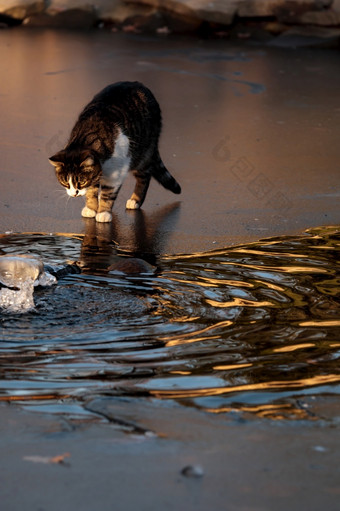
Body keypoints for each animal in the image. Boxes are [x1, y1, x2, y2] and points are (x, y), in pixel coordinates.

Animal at [48, 81, 181, 222]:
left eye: (82, 181)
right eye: (65, 182)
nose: (74, 194)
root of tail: (138, 84)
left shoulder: (117, 171)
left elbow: (108, 194)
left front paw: (103, 212)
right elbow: (91, 191)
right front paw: (91, 208)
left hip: (141, 153)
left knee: (144, 176)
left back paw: (135, 200)